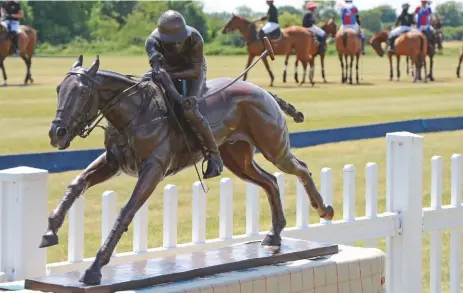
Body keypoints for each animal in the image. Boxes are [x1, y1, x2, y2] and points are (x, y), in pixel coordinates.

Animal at [39, 54, 334, 282]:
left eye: (82, 91)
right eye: (58, 89)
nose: (57, 133)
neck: (134, 113)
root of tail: (263, 91)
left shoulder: (153, 169)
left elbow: (126, 211)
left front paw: (95, 267)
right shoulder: (113, 163)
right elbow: (77, 183)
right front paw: (50, 231)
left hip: (274, 148)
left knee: (301, 169)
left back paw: (323, 209)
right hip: (238, 160)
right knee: (271, 181)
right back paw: (274, 235)